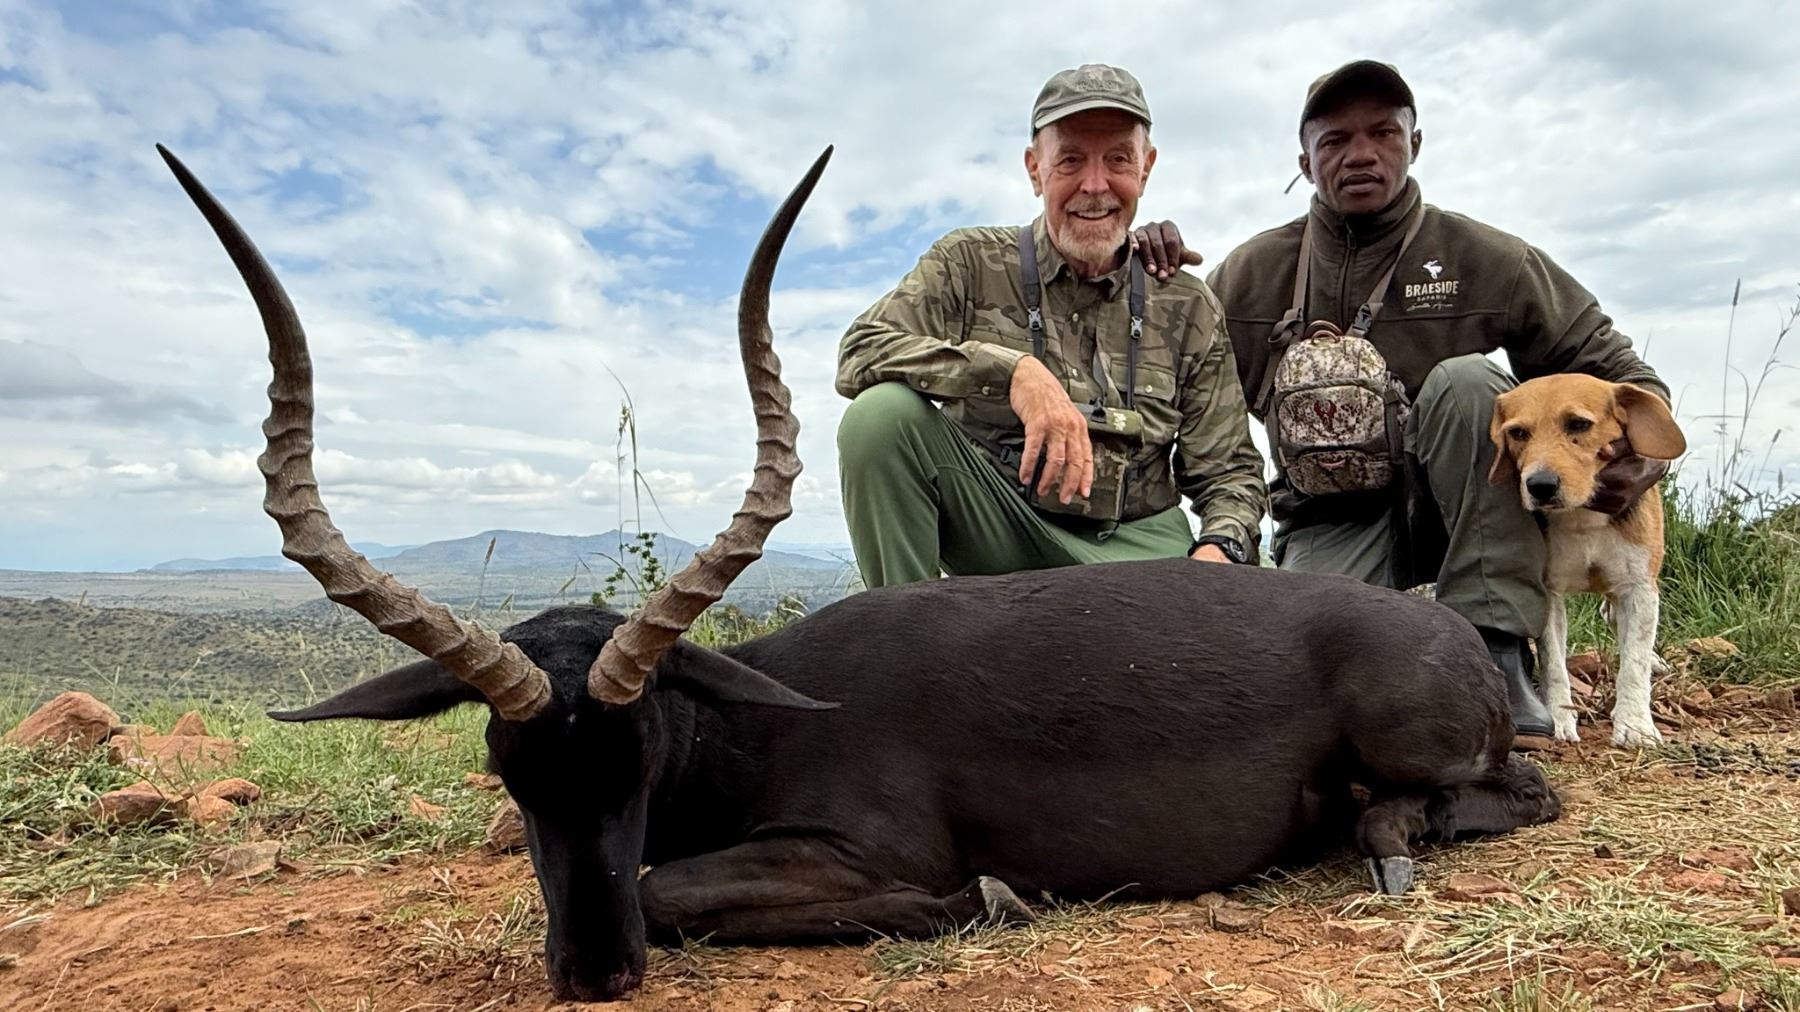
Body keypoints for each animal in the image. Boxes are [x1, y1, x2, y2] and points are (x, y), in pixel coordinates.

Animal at [158, 144, 1560, 1003]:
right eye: (511, 772)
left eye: (640, 758)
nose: (597, 972)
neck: (745, 727)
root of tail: (1440, 637)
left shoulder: (851, 846)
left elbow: (676, 882)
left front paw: (988, 895)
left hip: (1422, 749)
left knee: (1512, 794)